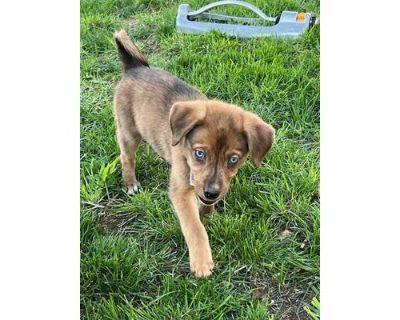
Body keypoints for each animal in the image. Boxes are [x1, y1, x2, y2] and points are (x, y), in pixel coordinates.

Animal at [112, 30, 276, 278]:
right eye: (199, 153)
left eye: (233, 159)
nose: (211, 193)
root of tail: (135, 67)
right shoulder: (181, 189)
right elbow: (194, 227)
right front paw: (201, 261)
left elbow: (205, 210)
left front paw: (208, 214)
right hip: (128, 130)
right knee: (126, 156)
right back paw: (130, 183)